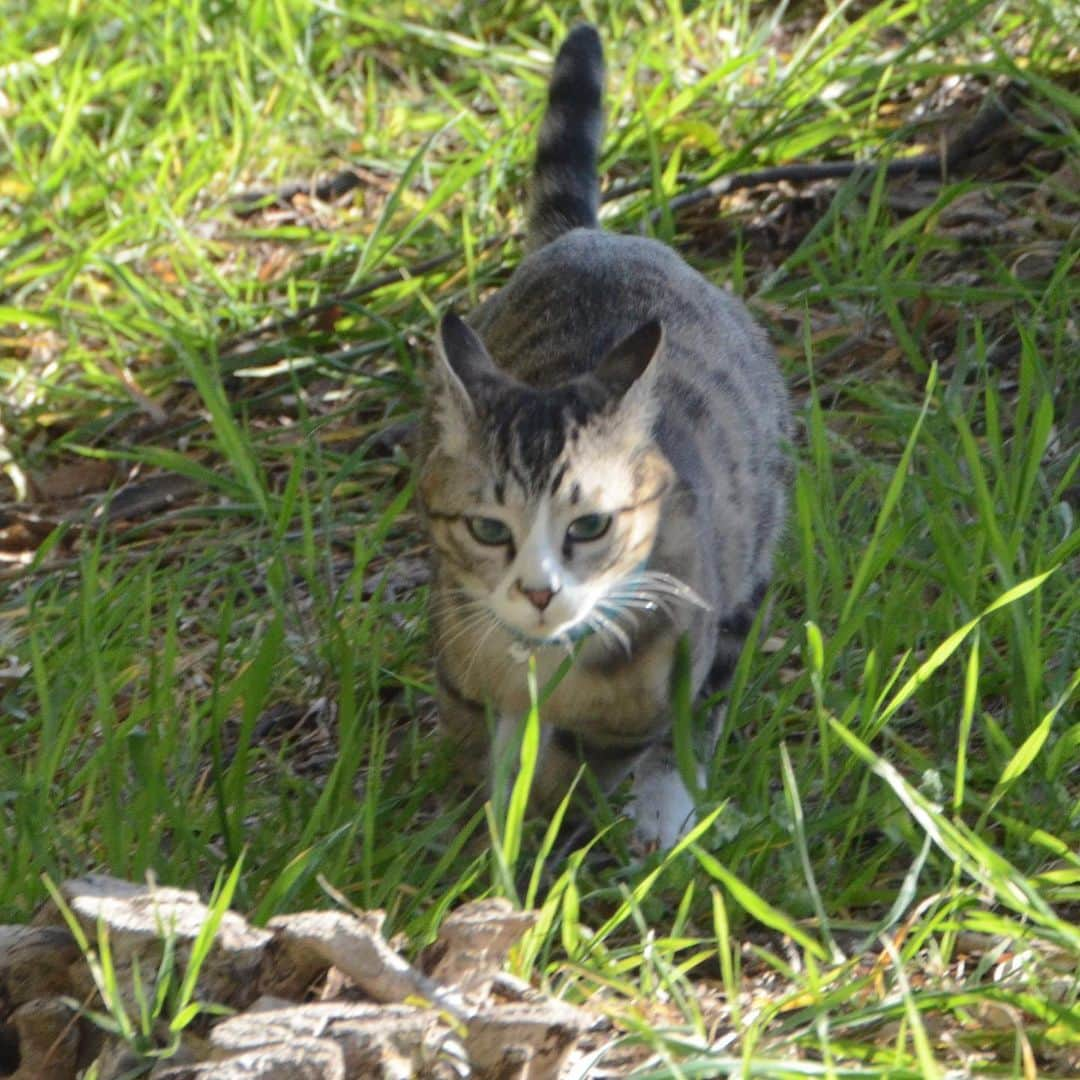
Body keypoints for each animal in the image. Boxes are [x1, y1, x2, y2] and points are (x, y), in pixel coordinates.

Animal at [416, 19, 790, 842]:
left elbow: (595, 760)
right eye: (488, 530)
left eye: (589, 526)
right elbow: (482, 753)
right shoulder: (462, 670)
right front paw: (487, 828)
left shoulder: (649, 688)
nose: (538, 592)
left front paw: (560, 818)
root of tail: (595, 237)